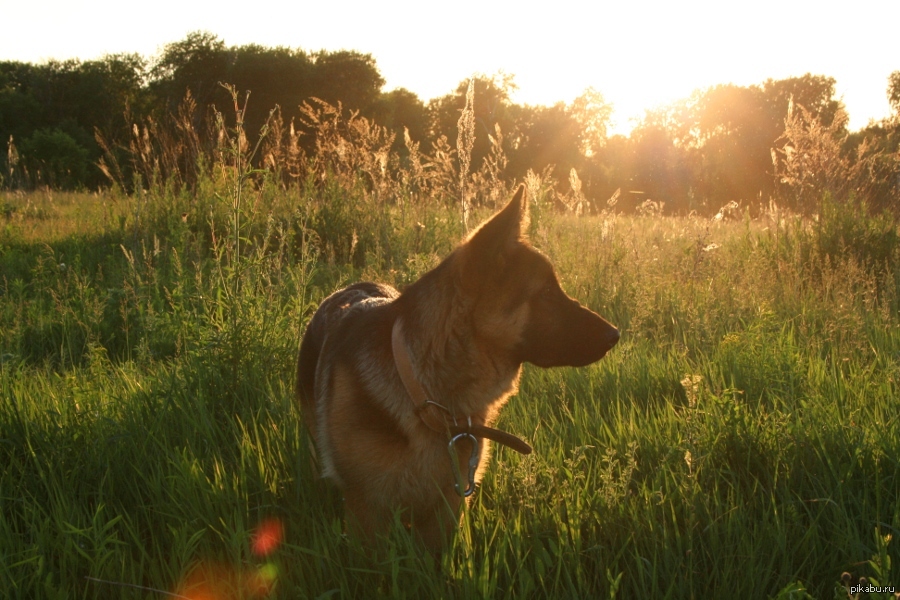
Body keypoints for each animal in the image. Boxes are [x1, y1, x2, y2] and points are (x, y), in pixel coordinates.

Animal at [296, 184, 620, 552]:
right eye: (548, 292)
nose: (616, 334)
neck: (425, 395)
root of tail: (351, 286)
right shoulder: (366, 514)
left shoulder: (446, 510)